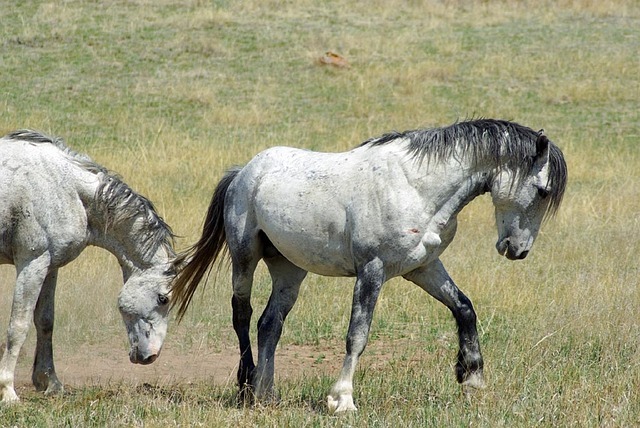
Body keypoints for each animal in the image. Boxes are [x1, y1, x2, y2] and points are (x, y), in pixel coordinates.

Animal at [0, 130, 176, 402]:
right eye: (163, 299)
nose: (151, 356)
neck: (66, 188)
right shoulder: (32, 263)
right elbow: (17, 327)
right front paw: (8, 391)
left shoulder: (50, 267)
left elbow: (45, 321)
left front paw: (50, 382)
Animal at [172, 118, 568, 412]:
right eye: (543, 191)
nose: (518, 250)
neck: (416, 187)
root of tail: (244, 172)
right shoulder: (371, 270)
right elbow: (357, 335)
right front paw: (342, 399)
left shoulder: (423, 267)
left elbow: (464, 308)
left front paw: (471, 377)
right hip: (245, 257)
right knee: (242, 315)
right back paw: (245, 386)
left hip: (289, 269)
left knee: (270, 323)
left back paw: (265, 393)